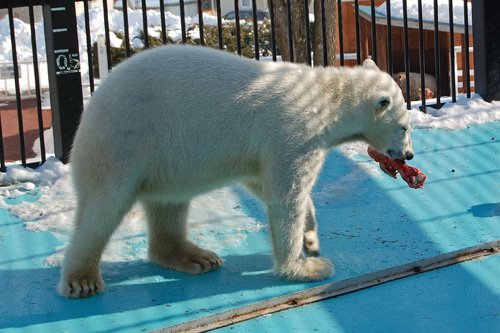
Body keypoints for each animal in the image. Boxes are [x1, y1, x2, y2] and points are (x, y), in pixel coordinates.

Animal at [57, 44, 414, 296]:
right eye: (404, 126)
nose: (408, 154)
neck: (328, 99)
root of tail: (94, 103)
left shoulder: (263, 152)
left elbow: (264, 185)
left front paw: (311, 237)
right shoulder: (295, 132)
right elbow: (286, 196)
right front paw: (306, 267)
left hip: (163, 157)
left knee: (169, 204)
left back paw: (195, 257)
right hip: (124, 138)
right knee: (103, 207)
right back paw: (82, 279)